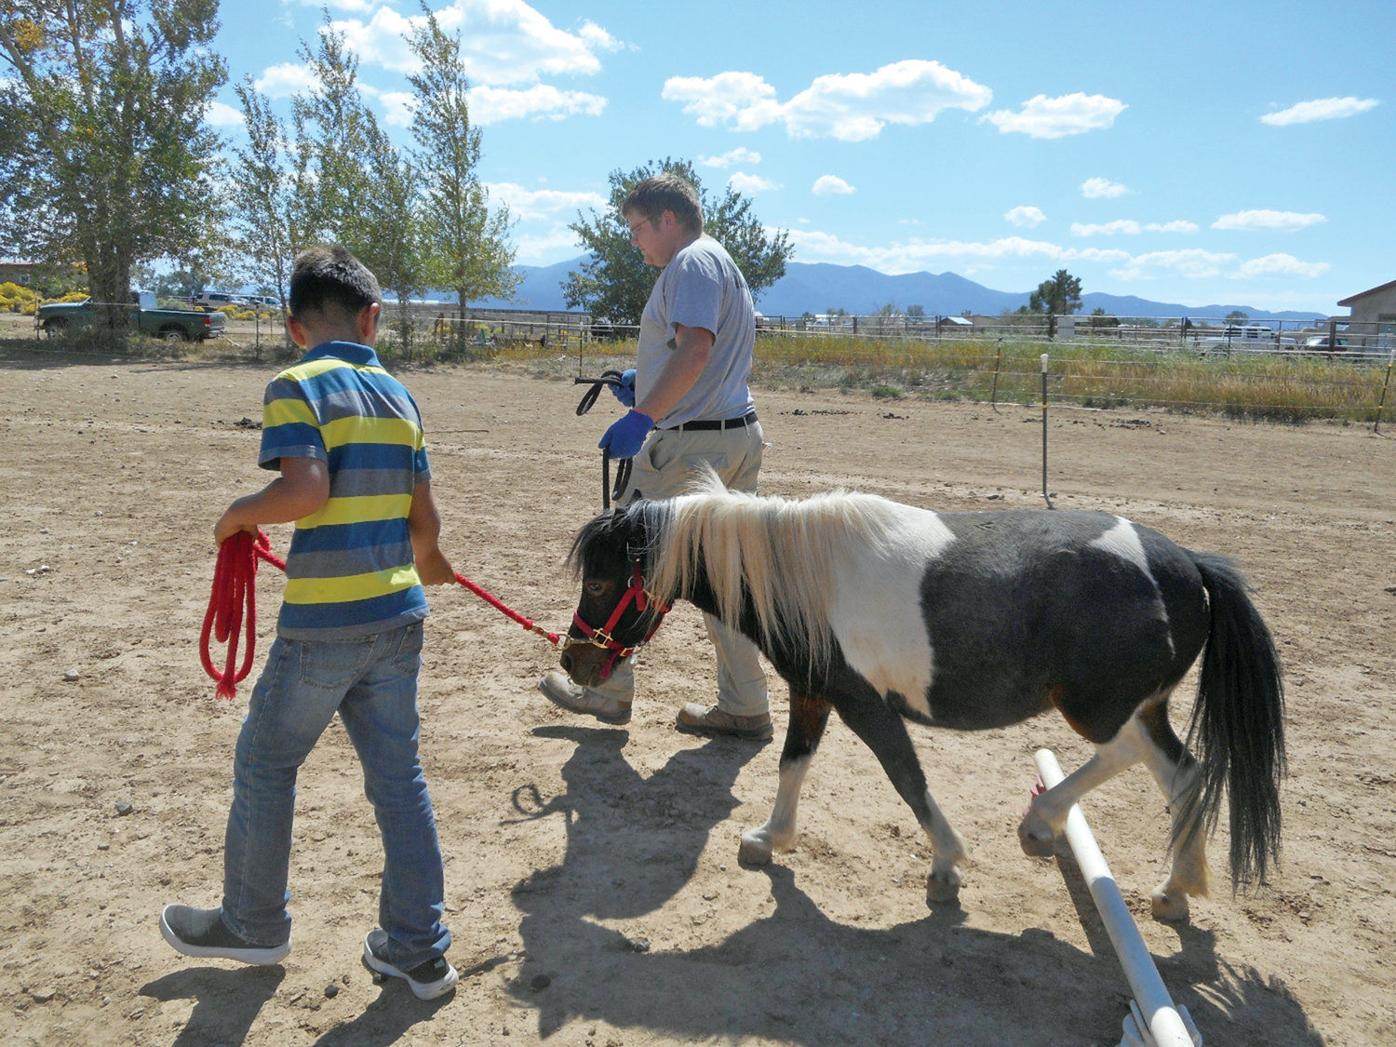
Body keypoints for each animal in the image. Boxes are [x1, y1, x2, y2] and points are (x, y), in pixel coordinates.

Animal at [558, 476, 1286, 923]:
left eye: (599, 583)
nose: (573, 661)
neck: (804, 576)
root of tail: (1189, 563)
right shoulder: (814, 692)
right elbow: (793, 764)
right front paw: (770, 837)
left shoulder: (865, 704)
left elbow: (907, 779)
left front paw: (946, 865)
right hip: (1135, 706)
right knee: (1182, 771)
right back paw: (1170, 887)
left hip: (1100, 707)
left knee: (1141, 757)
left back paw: (1050, 824)